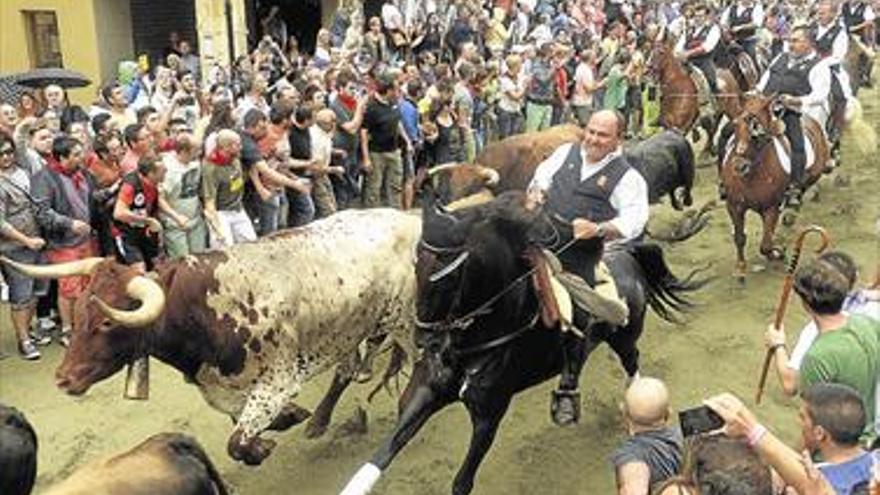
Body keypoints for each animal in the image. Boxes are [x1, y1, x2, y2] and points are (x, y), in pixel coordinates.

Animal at [0, 209, 420, 464]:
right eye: (79, 311)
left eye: (106, 323)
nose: (62, 378)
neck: (202, 309)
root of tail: (404, 217)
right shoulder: (227, 389)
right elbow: (241, 422)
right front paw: (290, 418)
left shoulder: (278, 380)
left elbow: (237, 443)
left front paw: (263, 444)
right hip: (350, 327)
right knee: (347, 370)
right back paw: (319, 419)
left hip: (400, 319)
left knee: (414, 358)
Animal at [340, 193, 704, 495]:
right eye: (417, 262)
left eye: (452, 275)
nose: (425, 339)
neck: (472, 345)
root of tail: (628, 254)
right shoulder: (426, 392)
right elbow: (381, 455)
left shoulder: (488, 417)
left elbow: (462, 482)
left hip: (625, 338)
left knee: (633, 363)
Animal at [720, 93, 828, 280]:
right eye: (736, 126)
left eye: (757, 133)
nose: (739, 166)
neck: (752, 174)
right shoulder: (734, 206)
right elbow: (740, 237)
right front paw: (740, 267)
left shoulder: (770, 208)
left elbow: (766, 244)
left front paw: (778, 253)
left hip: (813, 174)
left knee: (800, 191)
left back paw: (791, 211)